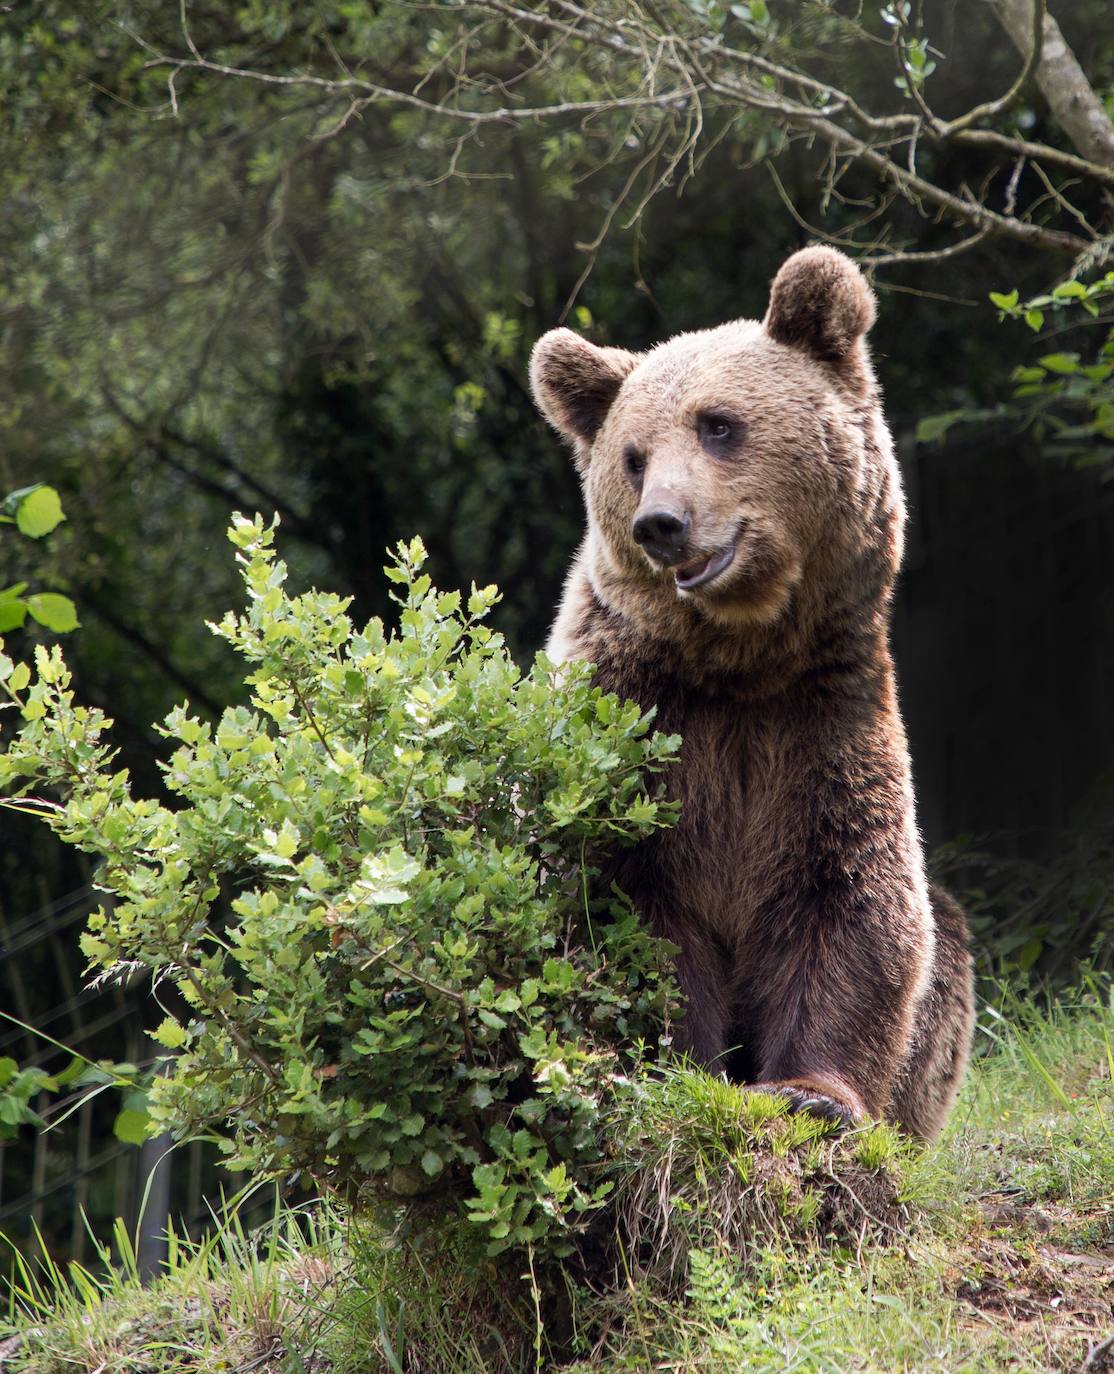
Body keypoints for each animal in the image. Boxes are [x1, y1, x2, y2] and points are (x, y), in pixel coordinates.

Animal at [530, 247, 978, 1137]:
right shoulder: (631, 729)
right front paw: (675, 1070)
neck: (739, 660)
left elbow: (852, 902)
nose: (662, 523)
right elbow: (626, 911)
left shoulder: (821, 720)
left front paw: (811, 1091)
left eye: (718, 425)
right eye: (633, 457)